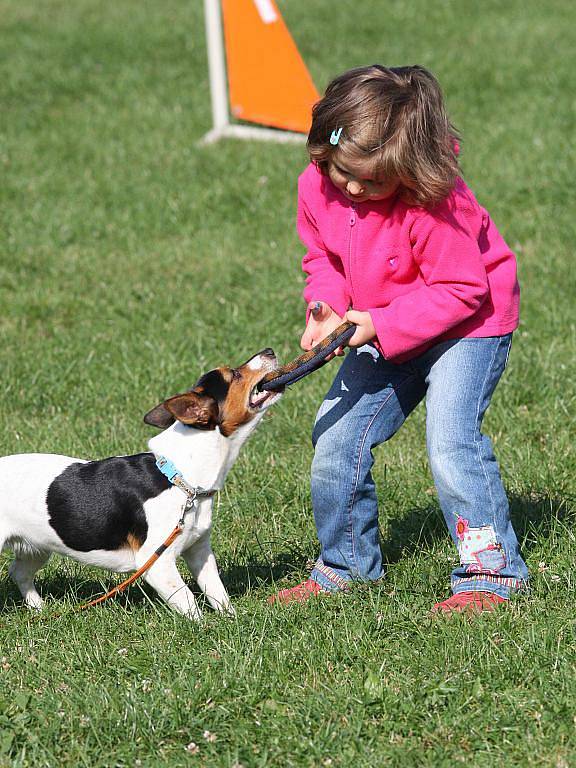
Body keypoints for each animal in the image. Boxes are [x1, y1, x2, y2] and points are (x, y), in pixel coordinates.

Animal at [0, 348, 284, 616]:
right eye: (234, 374)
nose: (269, 350)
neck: (180, 478)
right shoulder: (157, 564)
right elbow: (189, 601)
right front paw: (203, 628)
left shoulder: (199, 551)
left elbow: (217, 592)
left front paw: (231, 620)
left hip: (36, 547)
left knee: (19, 572)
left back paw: (40, 609)